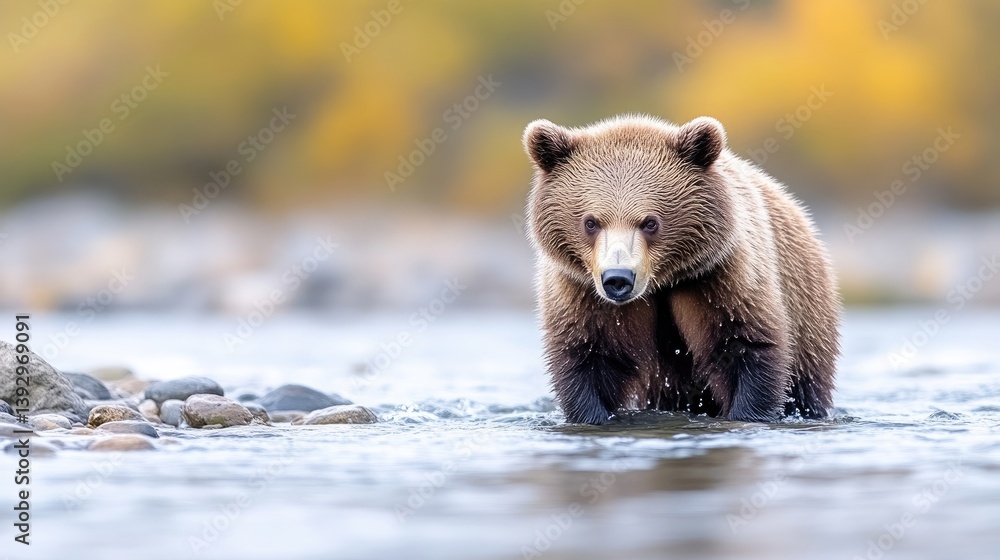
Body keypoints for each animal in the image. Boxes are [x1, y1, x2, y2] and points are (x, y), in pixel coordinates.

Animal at [522, 114, 840, 425]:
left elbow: (747, 346)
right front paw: (593, 415)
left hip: (808, 317)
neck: (660, 285)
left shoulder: (720, 278)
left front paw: (747, 413)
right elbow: (587, 357)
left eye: (650, 222)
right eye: (591, 222)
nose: (618, 279)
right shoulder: (582, 293)